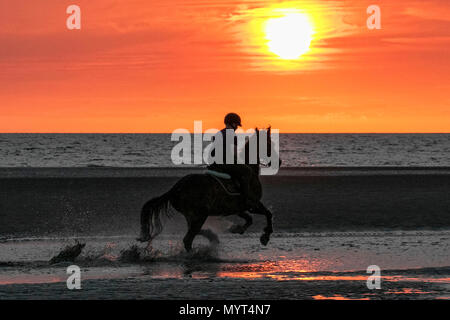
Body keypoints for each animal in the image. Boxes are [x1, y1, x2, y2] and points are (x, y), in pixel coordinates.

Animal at [136, 126, 278, 251]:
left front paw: (237, 229)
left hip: (192, 216)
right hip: (200, 215)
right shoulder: (253, 204)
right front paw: (265, 237)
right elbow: (268, 214)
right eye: (269, 144)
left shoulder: (239, 209)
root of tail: (176, 188)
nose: (279, 162)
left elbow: (250, 219)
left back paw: (211, 238)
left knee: (195, 232)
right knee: (188, 239)